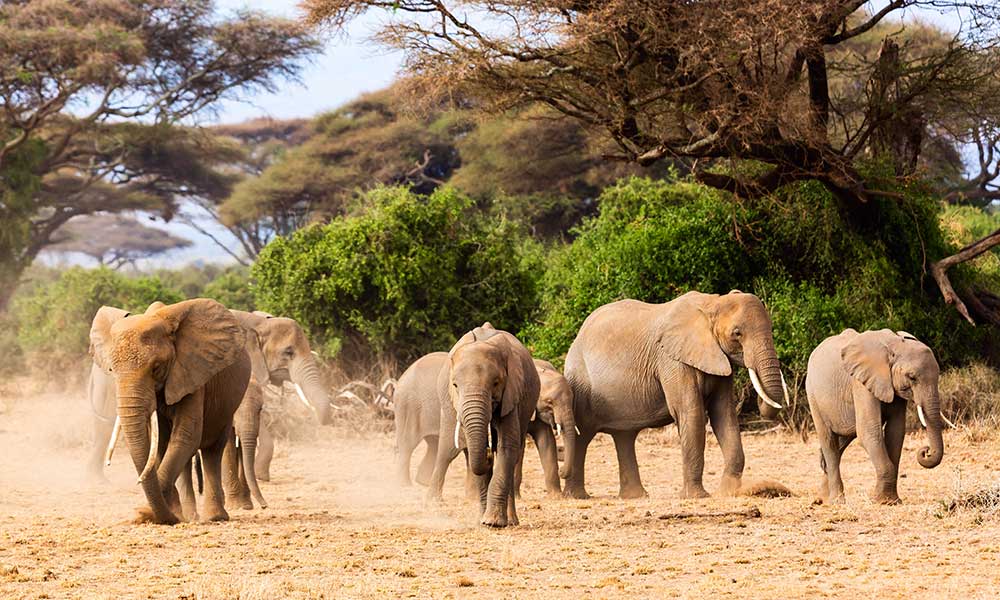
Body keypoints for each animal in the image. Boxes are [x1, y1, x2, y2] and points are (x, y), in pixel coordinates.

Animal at [88, 300, 252, 524]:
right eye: (111, 370)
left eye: (156, 368)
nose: (143, 512)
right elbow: (159, 445)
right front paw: (168, 514)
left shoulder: (192, 372)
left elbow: (186, 436)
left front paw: (148, 513)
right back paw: (189, 515)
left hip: (228, 404)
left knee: (212, 450)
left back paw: (214, 517)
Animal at [428, 326, 544, 528]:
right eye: (455, 385)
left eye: (496, 383)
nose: (489, 455)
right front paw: (482, 521)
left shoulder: (511, 395)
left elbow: (507, 447)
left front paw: (493, 522)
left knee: (515, 451)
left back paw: (511, 521)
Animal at [516, 360, 580, 496]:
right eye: (550, 402)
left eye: (572, 399)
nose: (561, 470)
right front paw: (516, 497)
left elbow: (546, 441)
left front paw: (557, 496)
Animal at [564, 288, 788, 500]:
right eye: (737, 333)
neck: (712, 302)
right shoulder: (672, 360)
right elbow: (691, 413)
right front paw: (698, 497)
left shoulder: (718, 358)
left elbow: (724, 415)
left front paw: (728, 491)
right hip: (580, 382)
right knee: (583, 435)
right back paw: (577, 496)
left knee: (624, 436)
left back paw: (635, 497)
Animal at [804, 328, 944, 506]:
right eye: (912, 377)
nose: (925, 451)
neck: (894, 345)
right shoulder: (861, 384)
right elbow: (869, 431)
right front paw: (882, 501)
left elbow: (895, 433)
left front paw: (892, 501)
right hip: (813, 395)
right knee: (829, 441)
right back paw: (836, 501)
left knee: (841, 443)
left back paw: (822, 499)